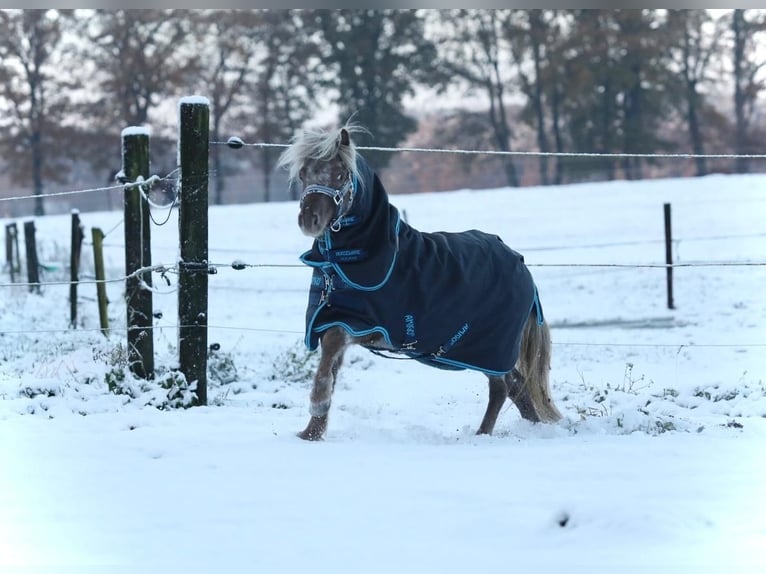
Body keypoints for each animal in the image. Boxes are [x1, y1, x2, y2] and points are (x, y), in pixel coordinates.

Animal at [280, 125, 560, 440]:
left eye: (340, 174)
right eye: (303, 174)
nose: (309, 220)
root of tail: (522, 265)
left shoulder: (362, 325)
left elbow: (331, 347)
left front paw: (317, 404)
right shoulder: (332, 318)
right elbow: (331, 366)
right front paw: (311, 433)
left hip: (490, 347)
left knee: (500, 388)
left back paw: (482, 434)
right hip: (484, 352)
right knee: (517, 386)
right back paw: (531, 426)